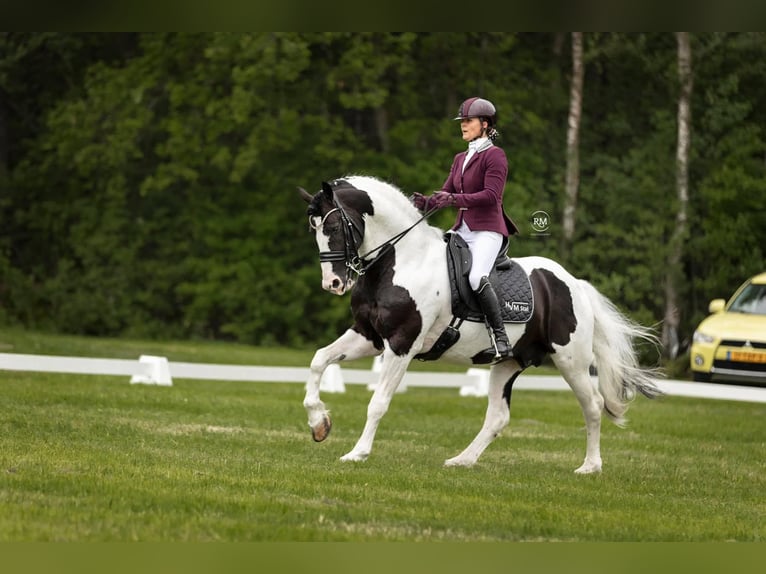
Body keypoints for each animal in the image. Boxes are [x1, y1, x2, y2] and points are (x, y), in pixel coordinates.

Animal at [296, 177, 664, 476]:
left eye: (334, 228)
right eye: (313, 230)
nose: (333, 283)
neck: (402, 262)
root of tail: (574, 283)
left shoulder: (402, 344)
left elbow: (378, 402)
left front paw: (357, 453)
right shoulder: (368, 337)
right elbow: (319, 360)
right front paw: (319, 424)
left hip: (571, 361)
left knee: (593, 406)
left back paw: (590, 466)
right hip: (509, 362)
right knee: (498, 416)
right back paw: (462, 460)